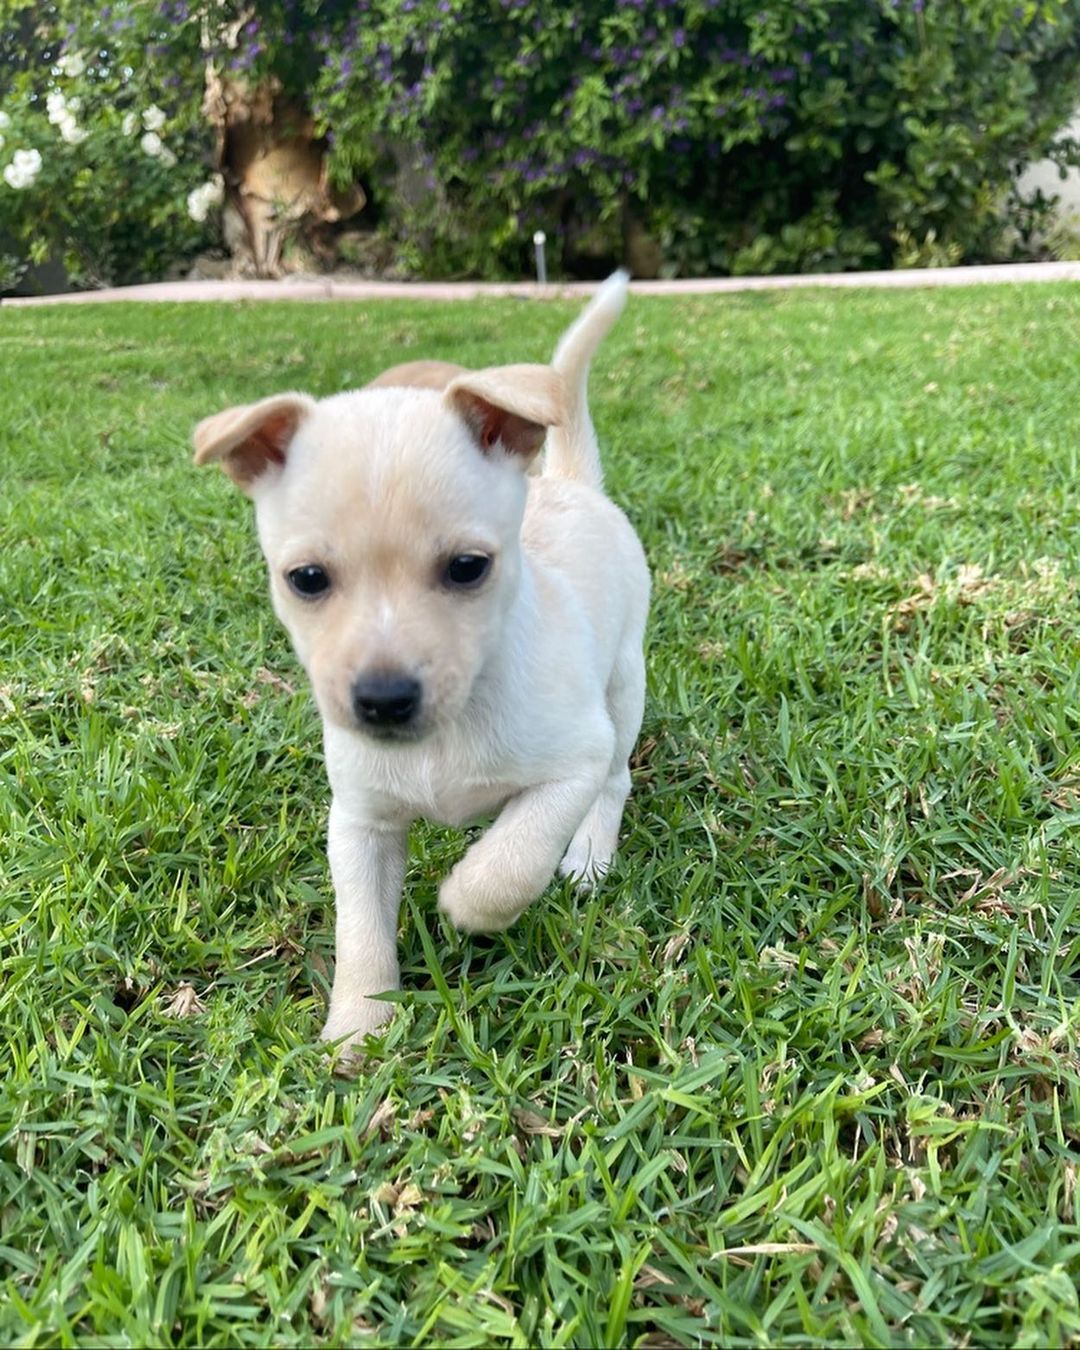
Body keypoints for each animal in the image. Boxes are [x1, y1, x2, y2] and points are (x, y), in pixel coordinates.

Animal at [191, 271, 650, 1042]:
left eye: (468, 568)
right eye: (305, 579)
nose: (382, 700)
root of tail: (570, 484)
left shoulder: (573, 761)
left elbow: (516, 854)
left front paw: (467, 900)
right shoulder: (359, 825)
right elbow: (360, 931)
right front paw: (357, 1028)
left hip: (622, 687)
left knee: (615, 779)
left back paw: (589, 855)